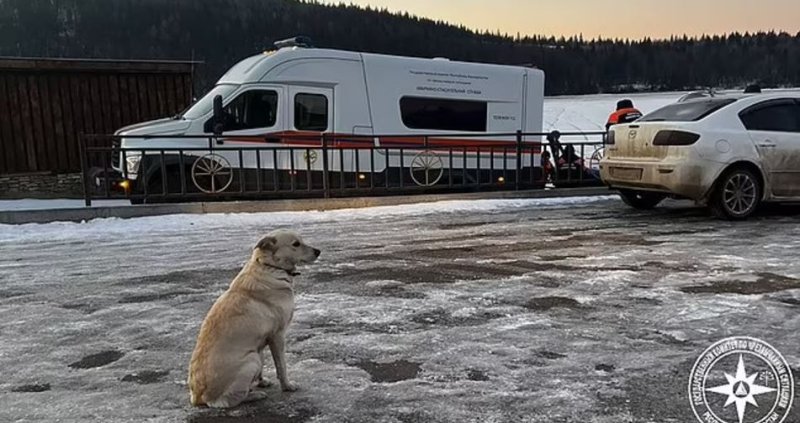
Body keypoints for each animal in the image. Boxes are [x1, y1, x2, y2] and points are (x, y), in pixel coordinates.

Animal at [189, 230, 320, 410]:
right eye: (296, 244)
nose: (318, 251)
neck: (270, 267)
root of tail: (198, 397)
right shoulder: (278, 335)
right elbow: (282, 366)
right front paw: (287, 386)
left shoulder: (262, 341)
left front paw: (262, 382)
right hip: (251, 360)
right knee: (226, 401)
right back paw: (254, 396)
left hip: (255, 356)